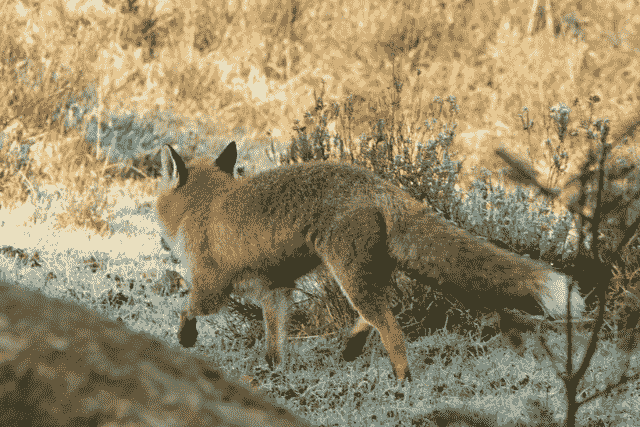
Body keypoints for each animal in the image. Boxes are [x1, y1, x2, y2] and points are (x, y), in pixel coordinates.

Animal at [155, 141, 585, 381]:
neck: (204, 206)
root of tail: (379, 182)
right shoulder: (275, 291)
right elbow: (275, 344)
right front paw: (274, 376)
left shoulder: (212, 286)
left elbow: (186, 309)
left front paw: (185, 339)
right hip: (364, 273)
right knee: (383, 308)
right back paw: (352, 346)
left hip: (347, 274)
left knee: (391, 326)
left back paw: (402, 381)